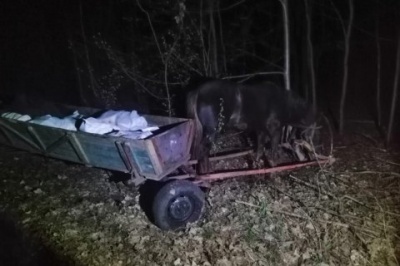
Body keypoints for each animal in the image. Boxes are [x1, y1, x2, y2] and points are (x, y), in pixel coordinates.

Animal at [186, 78, 318, 175]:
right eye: (310, 129)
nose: (312, 155)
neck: (283, 104)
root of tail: (197, 92)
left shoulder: (261, 131)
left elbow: (259, 150)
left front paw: (256, 168)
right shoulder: (275, 131)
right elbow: (274, 153)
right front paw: (273, 171)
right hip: (212, 132)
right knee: (203, 153)